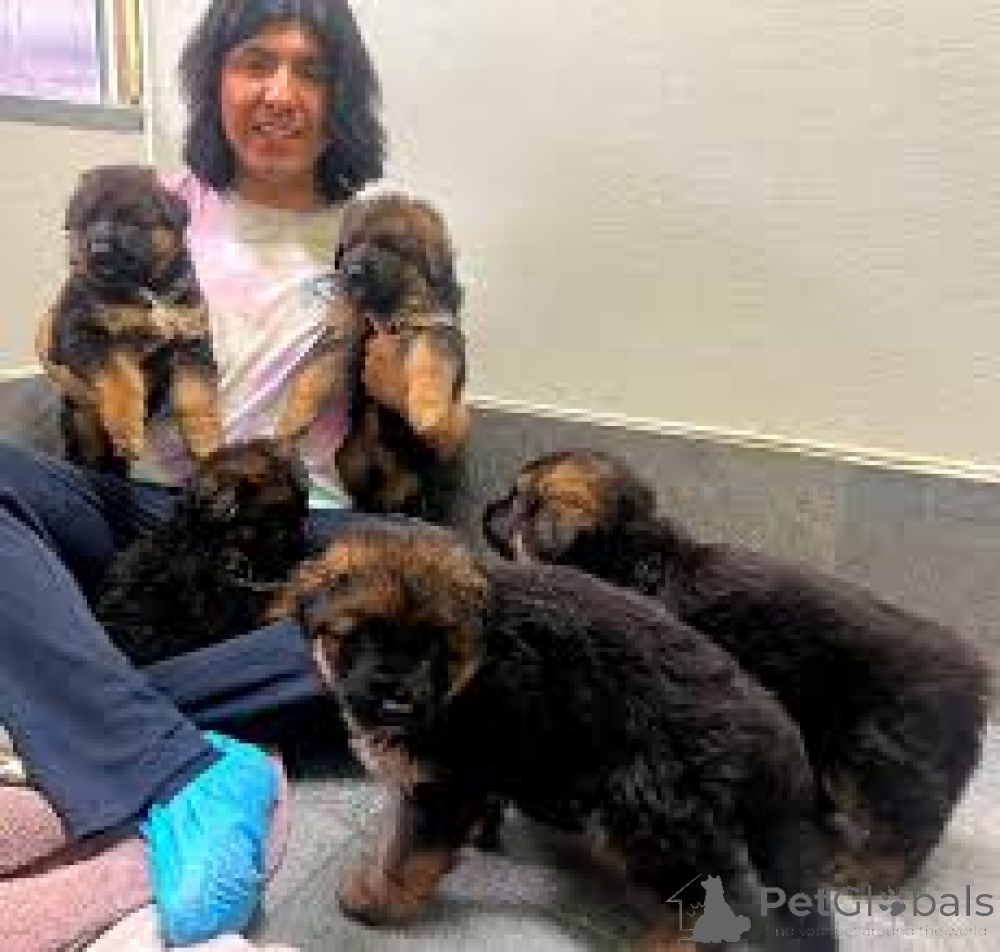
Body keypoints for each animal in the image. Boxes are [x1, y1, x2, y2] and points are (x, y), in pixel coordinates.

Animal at [36, 164, 221, 475]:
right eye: (85, 221)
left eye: (129, 220)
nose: (97, 249)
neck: (145, 288)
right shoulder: (83, 332)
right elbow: (121, 378)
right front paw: (126, 431)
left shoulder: (192, 338)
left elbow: (197, 393)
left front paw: (206, 440)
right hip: (79, 419)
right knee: (87, 451)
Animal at [271, 522, 836, 950]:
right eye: (358, 634)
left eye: (436, 643)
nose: (397, 702)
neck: (469, 671)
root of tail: (772, 730)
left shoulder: (445, 783)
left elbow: (407, 854)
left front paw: (375, 902)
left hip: (642, 812)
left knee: (696, 900)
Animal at [277, 192, 469, 519]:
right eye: (352, 242)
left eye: (390, 244)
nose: (353, 273)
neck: (384, 309)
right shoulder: (343, 334)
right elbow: (313, 373)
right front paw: (291, 420)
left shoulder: (436, 329)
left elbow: (430, 363)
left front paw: (428, 410)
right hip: (350, 455)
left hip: (446, 456)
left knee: (434, 493)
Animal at [483, 449, 992, 885]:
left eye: (516, 499)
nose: (487, 508)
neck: (632, 555)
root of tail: (975, 677)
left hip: (873, 753)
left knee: (908, 818)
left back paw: (869, 870)